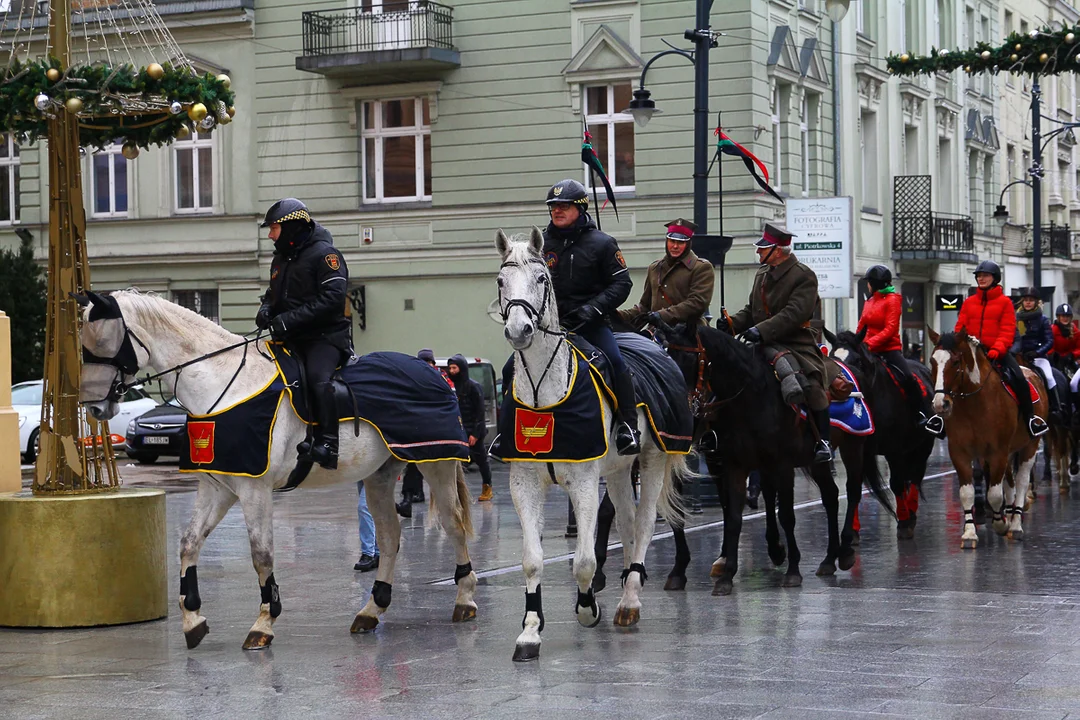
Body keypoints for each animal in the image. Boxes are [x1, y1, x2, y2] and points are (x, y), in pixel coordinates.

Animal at [79, 289, 477, 651]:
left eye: (102, 341)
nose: (94, 407)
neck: (223, 383)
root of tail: (434, 373)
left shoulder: (255, 490)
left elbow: (262, 554)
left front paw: (264, 622)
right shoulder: (217, 487)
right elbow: (189, 543)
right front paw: (193, 618)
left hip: (436, 463)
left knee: (454, 525)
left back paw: (465, 598)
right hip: (379, 474)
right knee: (391, 536)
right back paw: (371, 609)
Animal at [494, 231, 686, 664]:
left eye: (542, 278)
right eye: (500, 281)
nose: (520, 329)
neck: (543, 395)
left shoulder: (582, 481)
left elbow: (583, 560)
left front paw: (587, 608)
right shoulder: (523, 482)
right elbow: (531, 561)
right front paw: (530, 631)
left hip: (654, 458)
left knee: (644, 523)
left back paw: (629, 602)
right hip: (617, 471)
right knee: (628, 521)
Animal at [825, 330, 937, 537]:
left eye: (858, 360)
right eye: (832, 357)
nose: (841, 385)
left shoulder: (895, 449)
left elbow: (896, 483)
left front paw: (903, 521)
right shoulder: (857, 447)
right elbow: (855, 485)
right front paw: (853, 529)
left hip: (924, 444)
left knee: (916, 476)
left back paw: (910, 510)